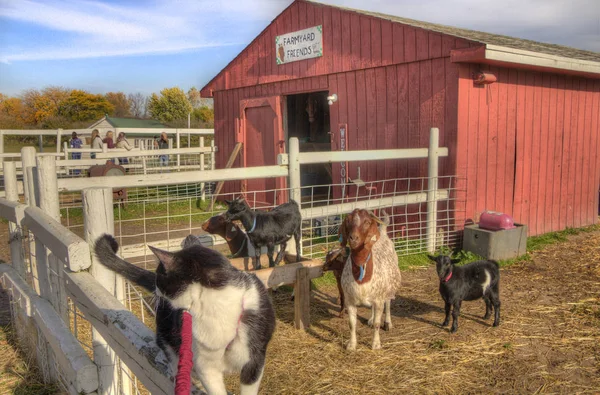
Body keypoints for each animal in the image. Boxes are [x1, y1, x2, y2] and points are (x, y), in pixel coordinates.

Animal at [94, 234, 276, 394]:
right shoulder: (205, 364)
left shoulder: (255, 357)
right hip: (167, 332)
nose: (156, 288)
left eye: (160, 276)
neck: (214, 305)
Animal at [340, 209, 400, 352]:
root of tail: (382, 232)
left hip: (387, 288)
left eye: (367, 222)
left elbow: (378, 323)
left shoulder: (379, 300)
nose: (353, 238)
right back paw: (371, 319)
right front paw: (351, 345)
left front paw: (376, 345)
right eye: (348, 220)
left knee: (388, 303)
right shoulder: (349, 300)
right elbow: (352, 324)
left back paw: (388, 323)